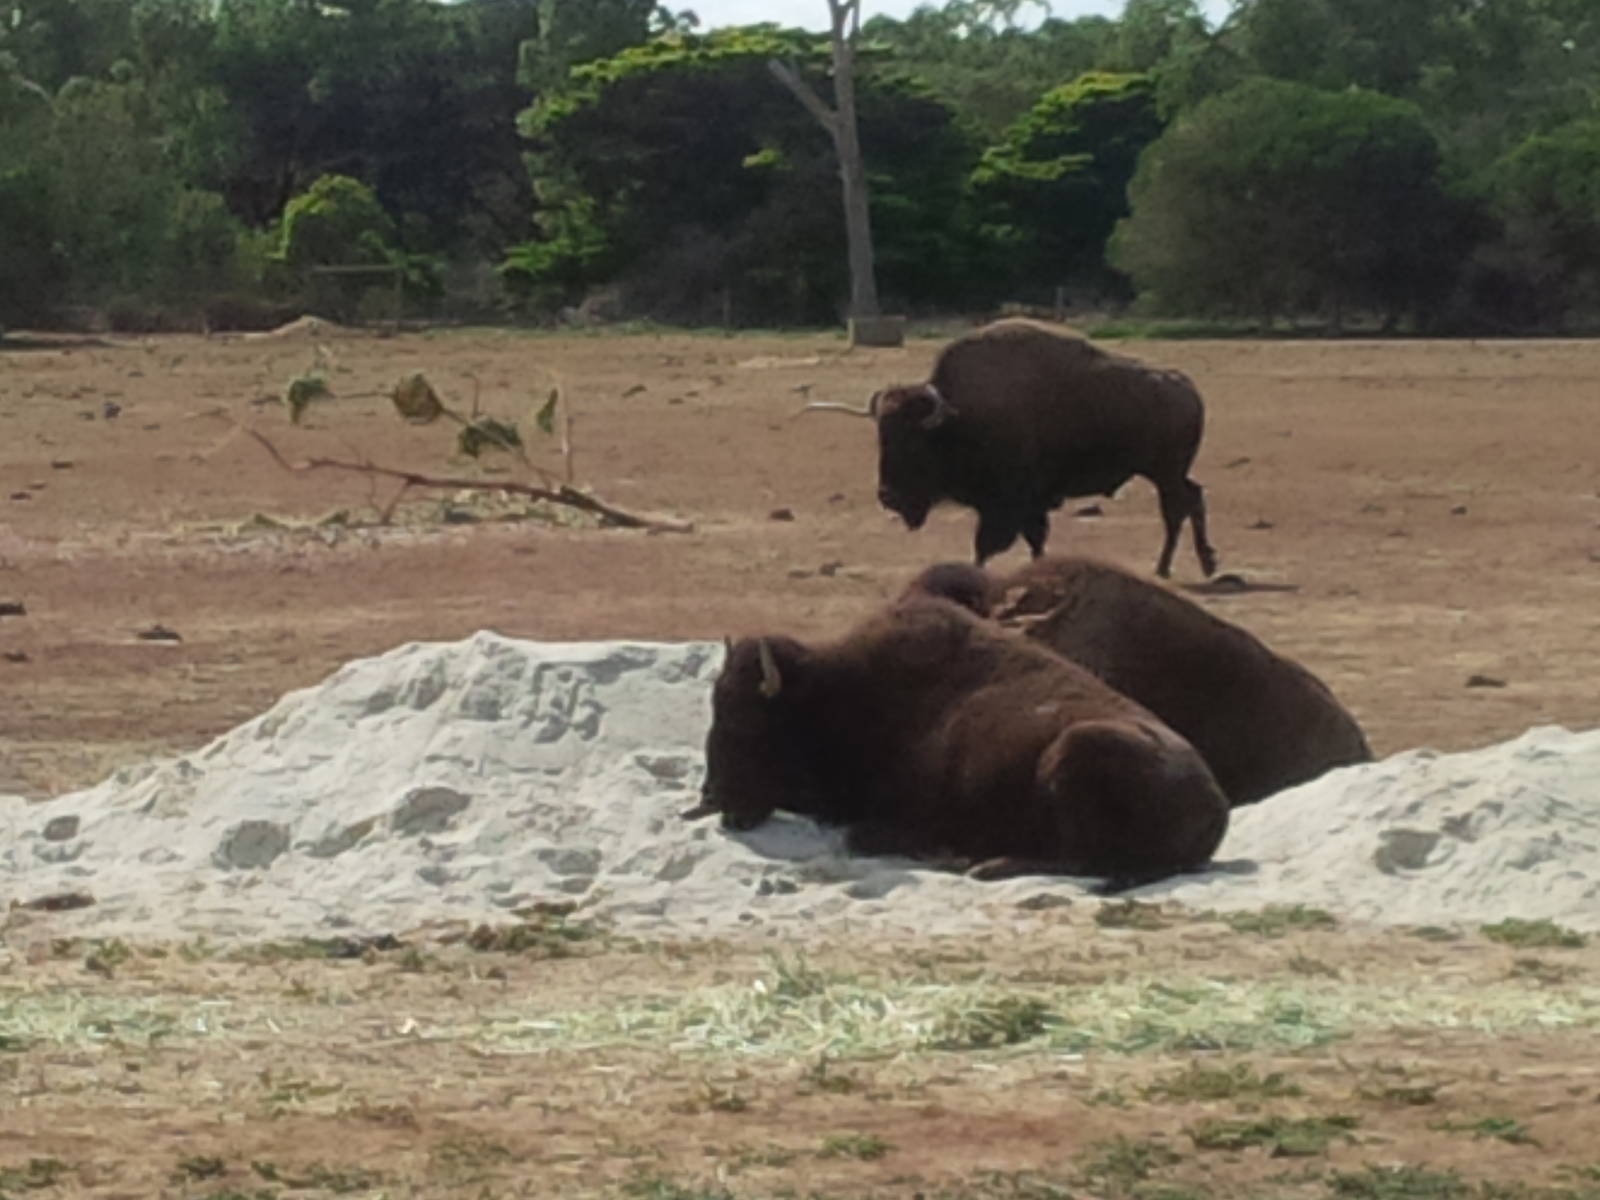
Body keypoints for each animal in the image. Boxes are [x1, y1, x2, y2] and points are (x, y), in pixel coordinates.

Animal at [685, 593, 1229, 885]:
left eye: (747, 722)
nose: (713, 798)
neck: (835, 693)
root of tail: (1216, 804)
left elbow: (861, 835)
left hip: (1077, 748)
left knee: (1080, 860)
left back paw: (978, 863)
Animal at [803, 319, 1219, 578]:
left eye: (914, 443)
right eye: (881, 437)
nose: (887, 496)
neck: (960, 415)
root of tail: (1188, 388)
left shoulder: (1008, 503)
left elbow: (988, 545)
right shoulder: (1025, 505)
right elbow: (1032, 539)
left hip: (1164, 473)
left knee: (1177, 509)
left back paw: (1167, 567)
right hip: (1167, 473)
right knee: (1193, 498)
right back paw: (1201, 564)